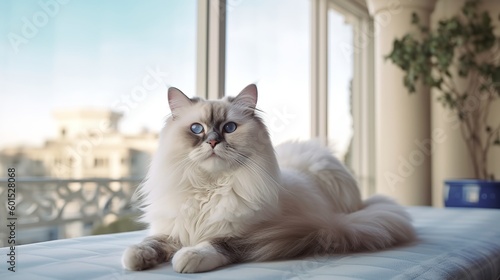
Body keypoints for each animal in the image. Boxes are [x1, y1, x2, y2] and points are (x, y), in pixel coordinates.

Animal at [121, 84, 414, 272]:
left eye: (229, 128)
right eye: (196, 129)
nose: (213, 142)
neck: (210, 188)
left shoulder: (257, 233)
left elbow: (217, 243)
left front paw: (188, 256)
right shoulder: (172, 229)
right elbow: (150, 243)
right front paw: (136, 257)